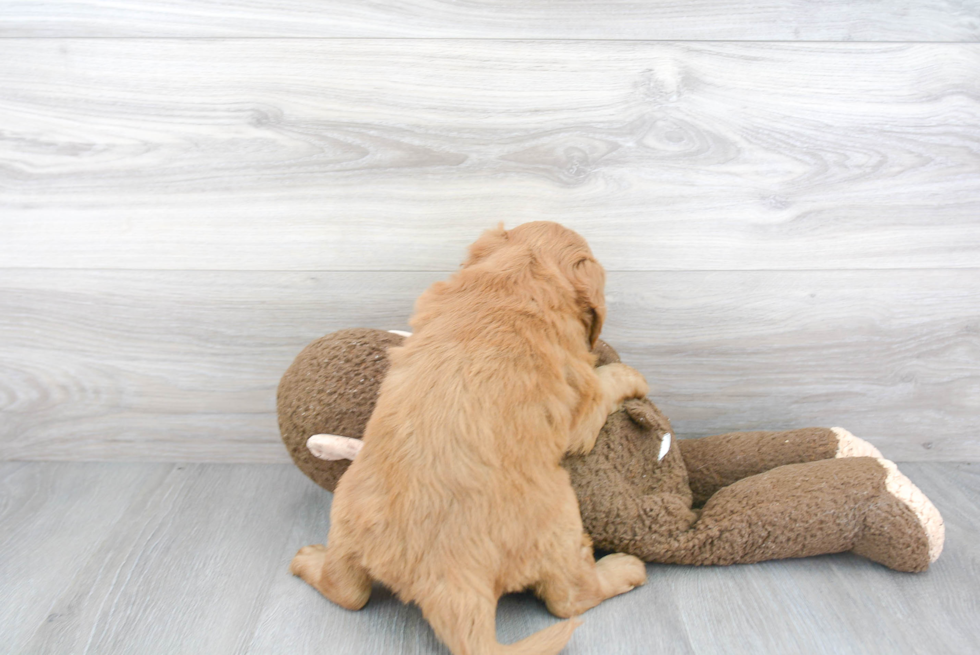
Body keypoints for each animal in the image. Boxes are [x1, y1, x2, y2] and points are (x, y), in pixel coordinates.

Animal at [290, 222, 652, 655]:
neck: (518, 280)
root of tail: (448, 582)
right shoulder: (582, 409)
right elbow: (606, 381)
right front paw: (630, 375)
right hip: (562, 517)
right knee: (568, 599)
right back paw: (624, 569)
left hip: (347, 512)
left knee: (347, 591)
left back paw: (306, 559)